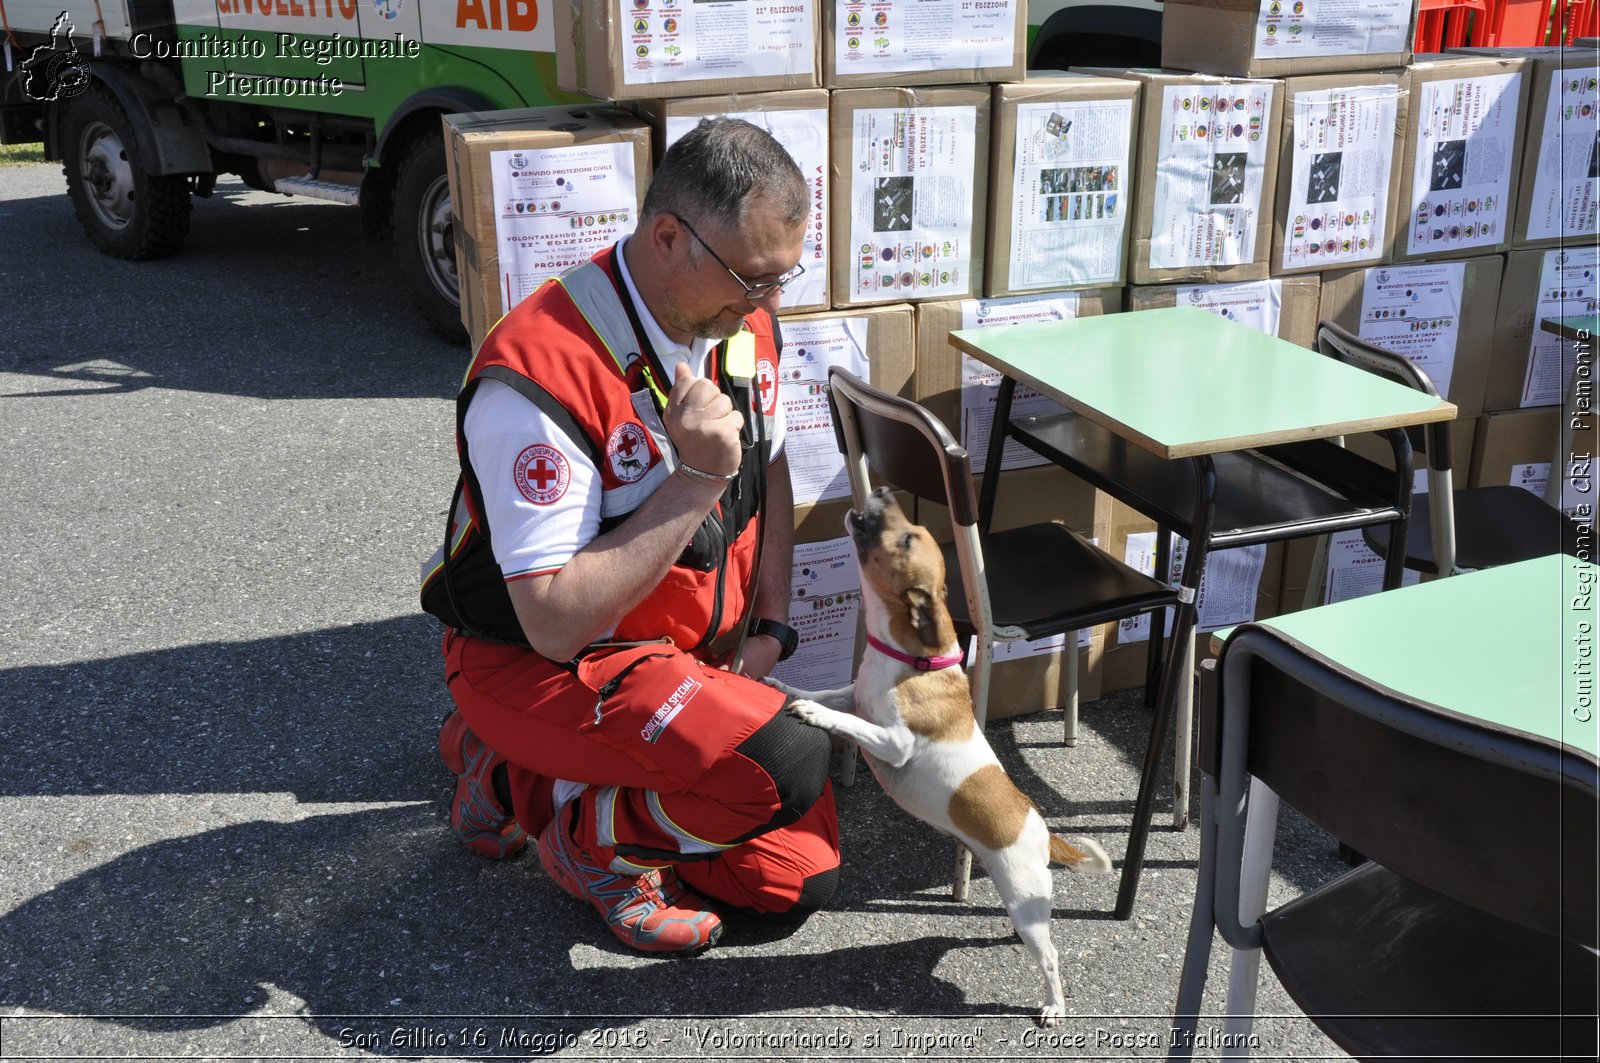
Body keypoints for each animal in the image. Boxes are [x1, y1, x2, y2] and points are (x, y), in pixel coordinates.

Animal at [764, 486, 1113, 1024]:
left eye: (909, 537)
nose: (883, 490)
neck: (907, 656)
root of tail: (1042, 829)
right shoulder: (854, 696)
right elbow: (825, 695)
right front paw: (784, 687)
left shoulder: (893, 741)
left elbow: (846, 722)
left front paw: (811, 713)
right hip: (1021, 901)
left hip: (1024, 895)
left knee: (1052, 958)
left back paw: (1054, 1006)